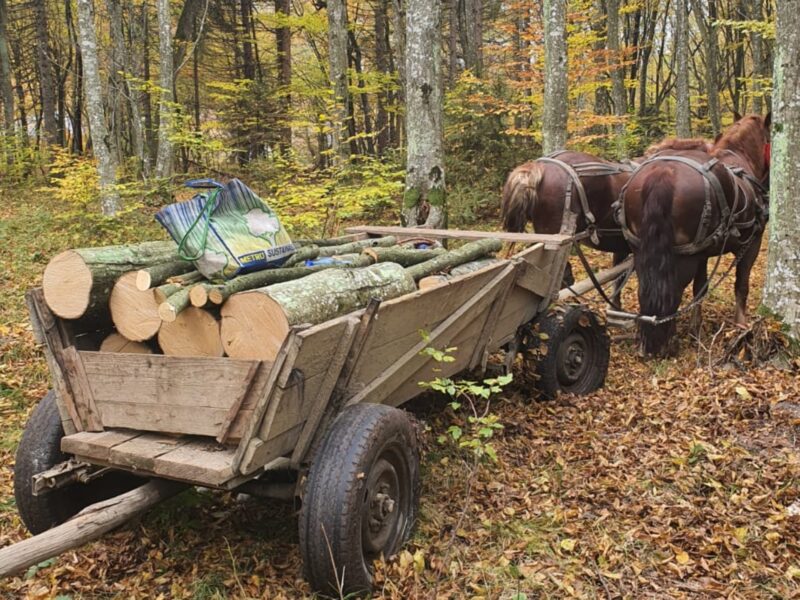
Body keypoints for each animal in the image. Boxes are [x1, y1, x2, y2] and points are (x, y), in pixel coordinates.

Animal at [620, 115, 768, 354]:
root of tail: (663, 174)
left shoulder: (703, 252)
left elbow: (700, 288)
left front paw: (695, 328)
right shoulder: (752, 243)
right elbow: (741, 285)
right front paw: (741, 327)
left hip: (642, 250)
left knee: (648, 288)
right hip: (683, 258)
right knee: (672, 291)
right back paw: (666, 339)